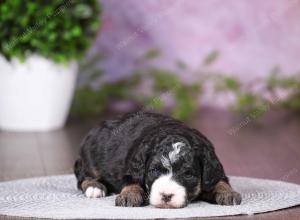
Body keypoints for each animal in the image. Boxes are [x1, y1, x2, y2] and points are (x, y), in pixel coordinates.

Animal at [75, 111, 241, 208]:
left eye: (188, 174)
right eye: (154, 170)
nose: (166, 196)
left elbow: (220, 181)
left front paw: (228, 193)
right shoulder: (131, 166)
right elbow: (132, 180)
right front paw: (130, 194)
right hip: (90, 157)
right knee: (83, 177)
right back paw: (94, 187)